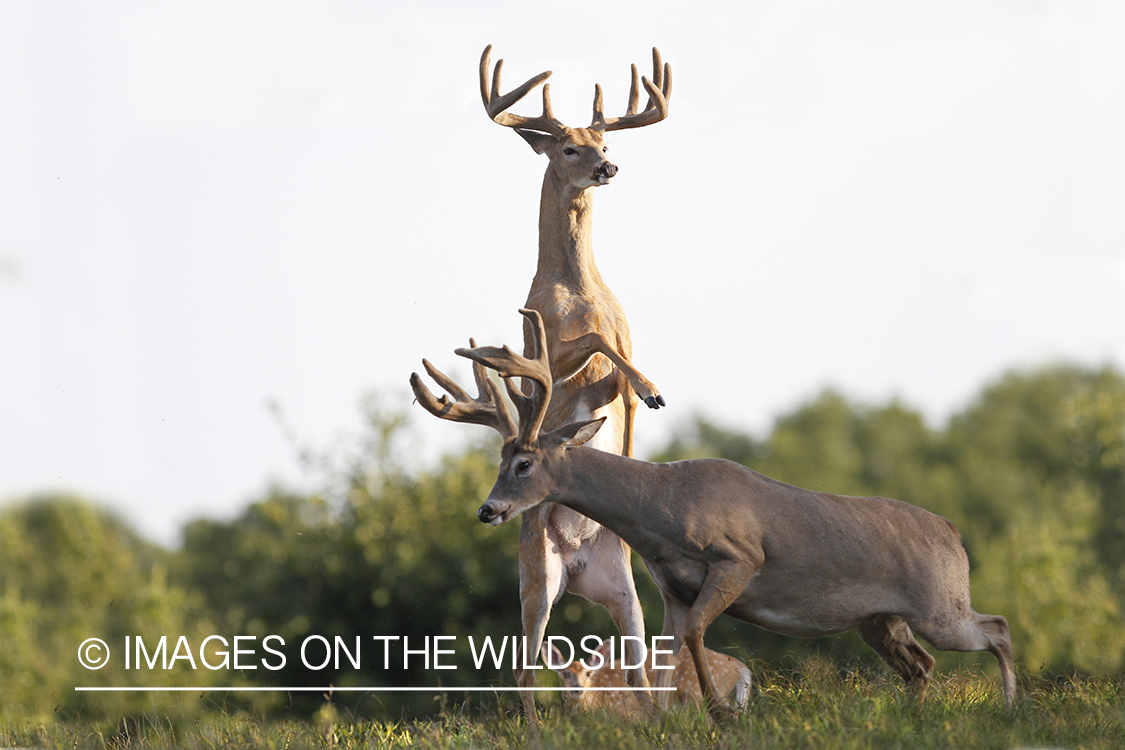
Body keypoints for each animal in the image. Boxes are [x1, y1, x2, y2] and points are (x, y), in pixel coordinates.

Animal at [411, 310, 1021, 719]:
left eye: (523, 463)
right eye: (499, 462)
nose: (487, 509)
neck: (662, 507)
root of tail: (953, 533)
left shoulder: (740, 558)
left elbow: (699, 633)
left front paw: (721, 712)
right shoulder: (673, 586)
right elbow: (664, 655)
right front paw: (671, 720)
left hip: (939, 605)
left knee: (995, 626)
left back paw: (1012, 708)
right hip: (880, 620)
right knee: (923, 665)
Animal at [414, 45, 670, 719]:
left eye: (602, 139)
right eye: (569, 148)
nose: (609, 165)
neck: (579, 288)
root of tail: (578, 566)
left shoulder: (624, 337)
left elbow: (620, 360)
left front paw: (651, 391)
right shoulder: (543, 351)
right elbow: (590, 350)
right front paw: (654, 391)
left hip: (626, 590)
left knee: (637, 670)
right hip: (536, 581)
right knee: (527, 670)